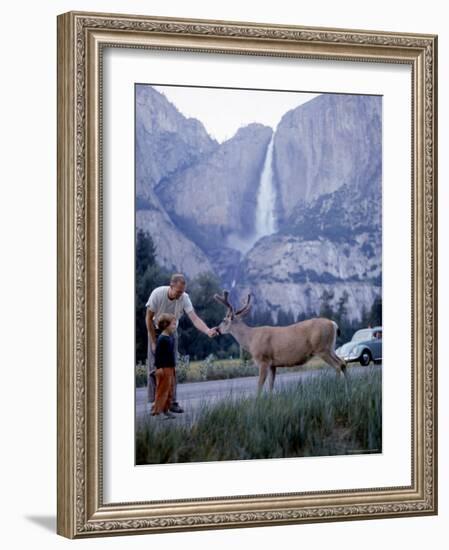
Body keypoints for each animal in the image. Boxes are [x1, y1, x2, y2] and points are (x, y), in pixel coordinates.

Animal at [214, 292, 346, 394]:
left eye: (224, 320)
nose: (217, 329)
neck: (250, 339)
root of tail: (333, 324)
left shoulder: (263, 359)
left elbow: (260, 384)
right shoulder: (273, 364)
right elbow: (271, 385)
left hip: (322, 348)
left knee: (337, 365)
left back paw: (338, 387)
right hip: (330, 347)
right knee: (343, 362)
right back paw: (347, 385)